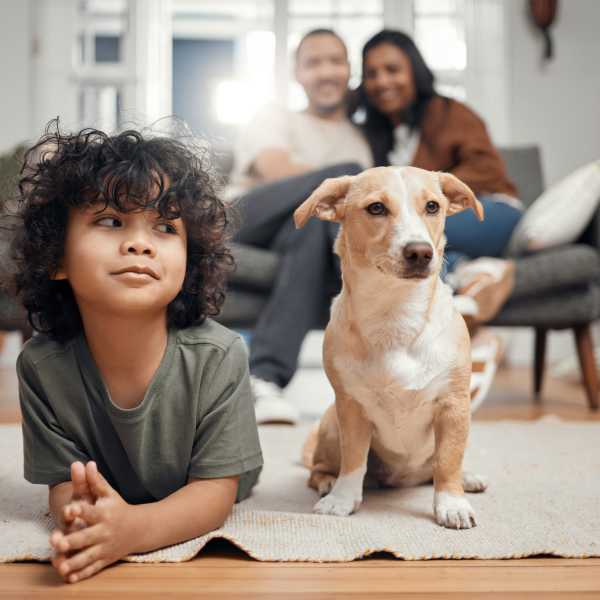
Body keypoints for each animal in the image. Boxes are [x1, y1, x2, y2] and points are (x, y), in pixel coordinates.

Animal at [294, 165, 488, 528]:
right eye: (376, 208)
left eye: (432, 206)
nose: (420, 252)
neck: (395, 314)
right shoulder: (351, 408)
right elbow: (354, 460)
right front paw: (343, 499)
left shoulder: (454, 406)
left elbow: (448, 460)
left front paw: (451, 503)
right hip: (330, 424)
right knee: (318, 467)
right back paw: (327, 482)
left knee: (442, 465)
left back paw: (467, 477)